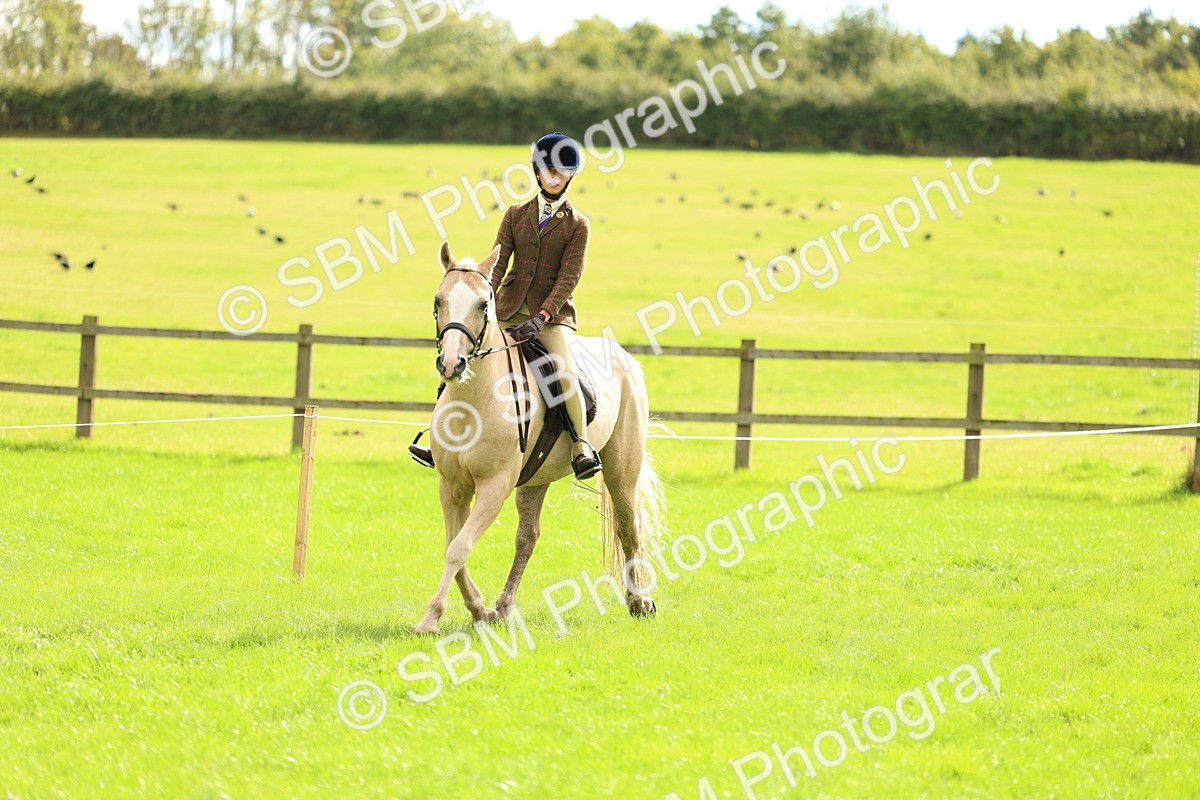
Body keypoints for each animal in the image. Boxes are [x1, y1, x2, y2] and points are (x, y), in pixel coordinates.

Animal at [413, 241, 665, 635]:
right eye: (438, 300)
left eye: (483, 305)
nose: (451, 364)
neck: (475, 401)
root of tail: (625, 357)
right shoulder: (452, 487)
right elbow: (454, 545)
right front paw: (479, 609)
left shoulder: (494, 487)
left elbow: (459, 548)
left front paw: (431, 618)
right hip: (535, 478)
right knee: (527, 538)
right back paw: (503, 607)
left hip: (621, 471)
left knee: (629, 527)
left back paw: (639, 601)